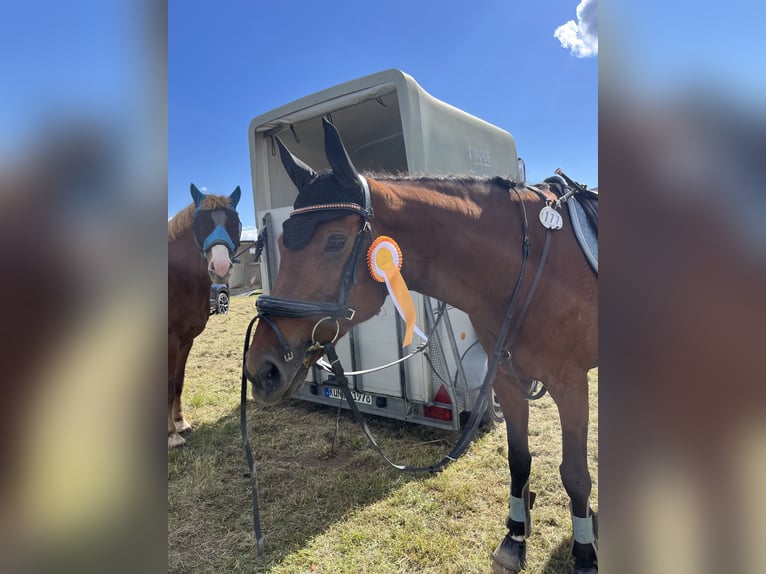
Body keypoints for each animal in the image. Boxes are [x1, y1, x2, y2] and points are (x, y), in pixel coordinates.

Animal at [169, 187, 242, 448]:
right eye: (200, 224)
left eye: (235, 222)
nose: (220, 267)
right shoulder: (169, 340)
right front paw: (172, 436)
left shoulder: (186, 340)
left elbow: (178, 382)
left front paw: (180, 423)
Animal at [246, 119, 600, 572]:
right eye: (279, 243)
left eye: (335, 241)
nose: (263, 367)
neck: (530, 266)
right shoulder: (504, 377)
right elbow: (519, 459)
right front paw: (516, 535)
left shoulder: (570, 384)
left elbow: (575, 474)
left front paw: (585, 553)